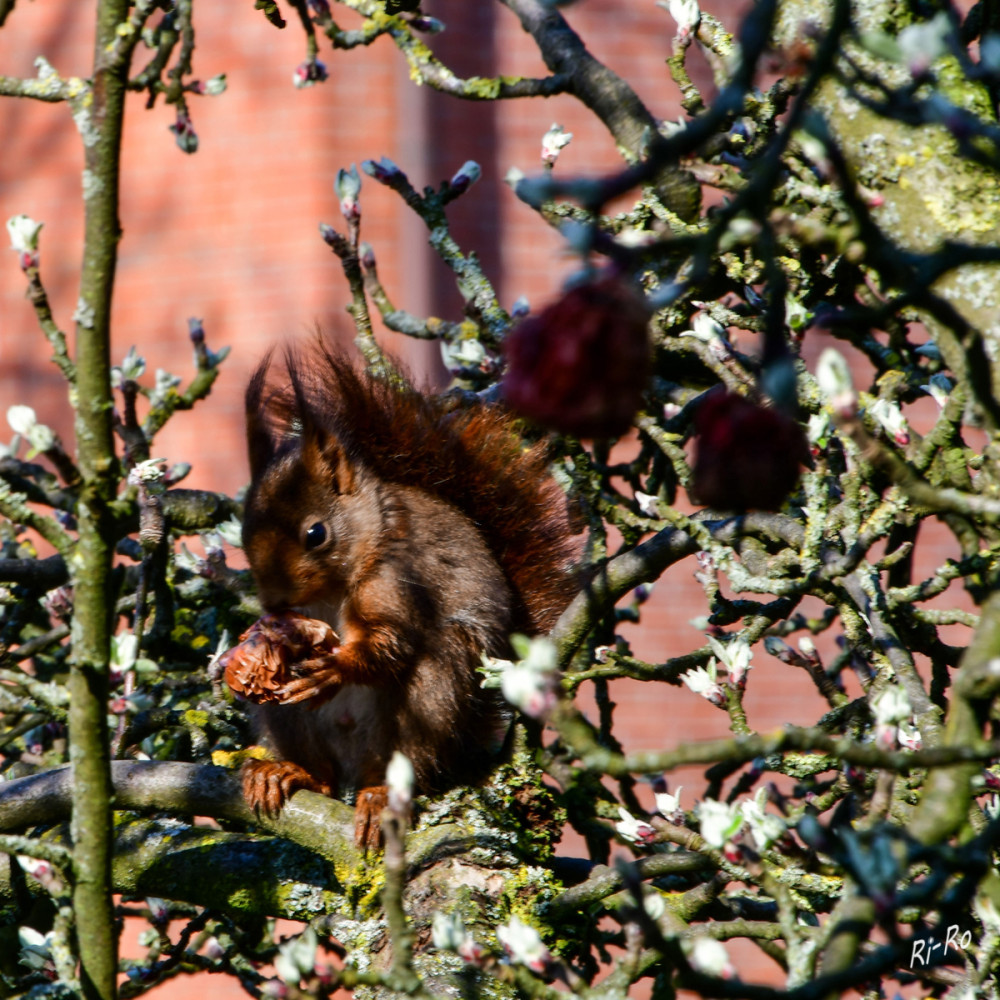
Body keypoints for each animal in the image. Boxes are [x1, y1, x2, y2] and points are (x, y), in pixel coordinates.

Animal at [236, 345, 579, 848]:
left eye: (316, 534)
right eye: (244, 533)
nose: (275, 602)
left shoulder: (399, 576)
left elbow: (391, 639)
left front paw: (336, 669)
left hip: (430, 698)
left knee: (408, 757)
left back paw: (381, 798)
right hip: (288, 720)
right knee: (322, 778)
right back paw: (285, 772)